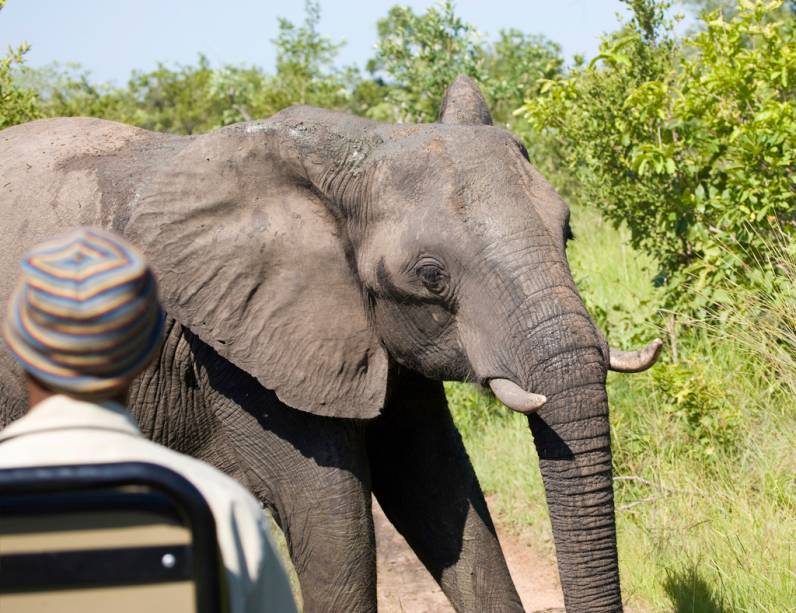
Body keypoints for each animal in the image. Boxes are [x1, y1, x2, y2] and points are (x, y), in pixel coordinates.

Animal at [0, 77, 660, 612]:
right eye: (430, 275)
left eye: (567, 231)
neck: (356, 148)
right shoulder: (237, 348)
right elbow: (334, 528)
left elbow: (440, 489)